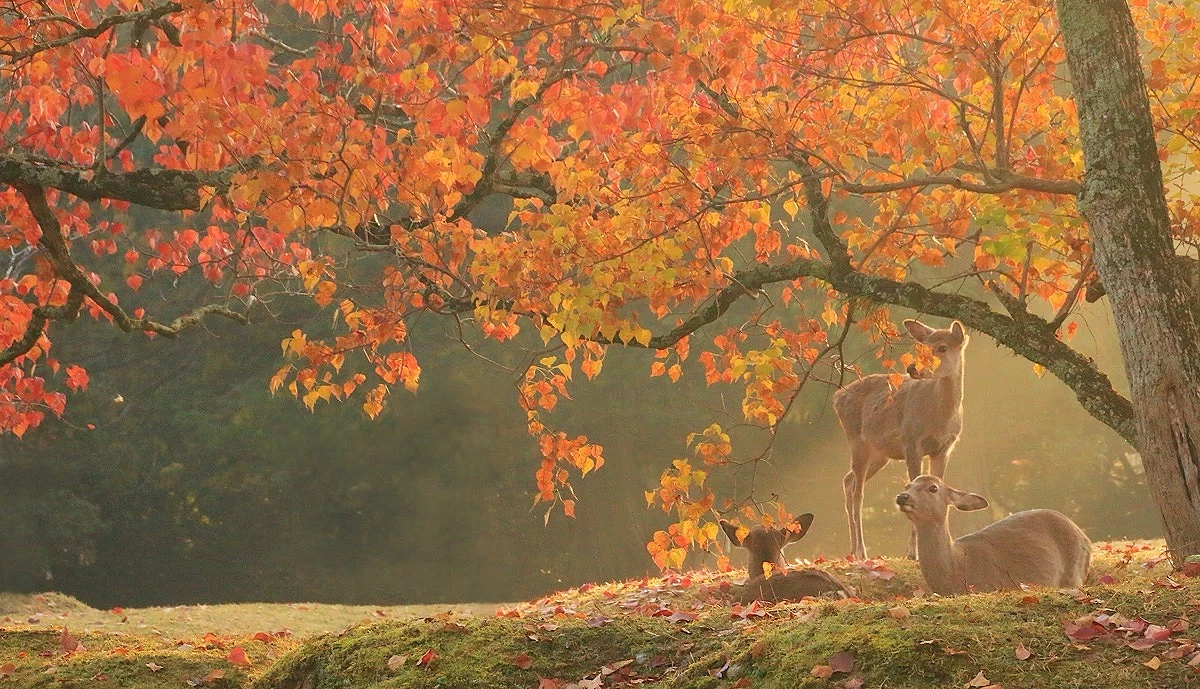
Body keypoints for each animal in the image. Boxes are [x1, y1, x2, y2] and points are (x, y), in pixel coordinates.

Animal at [834, 318, 969, 560]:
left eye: (942, 347)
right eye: (922, 346)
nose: (912, 368)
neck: (940, 417)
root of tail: (837, 396)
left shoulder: (944, 448)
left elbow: (938, 486)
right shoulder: (911, 441)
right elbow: (913, 488)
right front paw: (913, 551)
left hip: (880, 454)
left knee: (848, 481)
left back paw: (852, 550)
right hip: (857, 441)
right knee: (858, 493)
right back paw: (861, 551)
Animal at [895, 475, 1091, 596]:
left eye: (933, 488)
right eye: (907, 485)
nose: (902, 496)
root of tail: (1084, 536)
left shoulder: (990, 585)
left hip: (1074, 572)